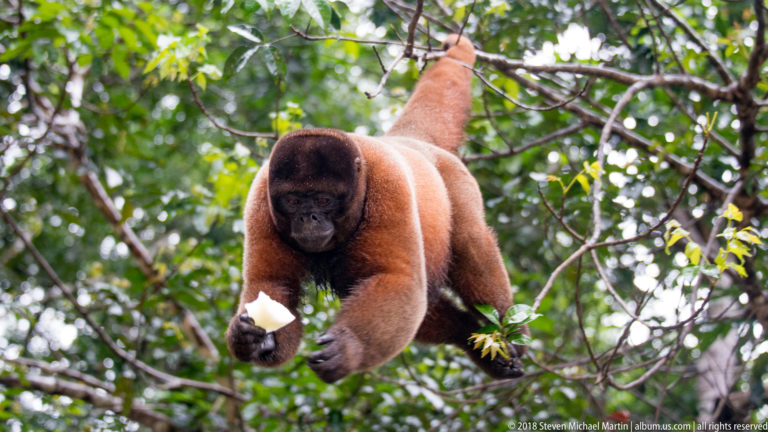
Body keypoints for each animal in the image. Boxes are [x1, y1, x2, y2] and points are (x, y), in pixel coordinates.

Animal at [226, 34, 526, 383]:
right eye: (293, 201)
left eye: (324, 201)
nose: (307, 218)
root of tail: (411, 141)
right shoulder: (260, 198)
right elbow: (273, 284)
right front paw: (248, 339)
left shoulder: (389, 182)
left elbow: (399, 279)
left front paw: (348, 349)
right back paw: (469, 336)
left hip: (455, 177)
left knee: (470, 240)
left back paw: (508, 335)